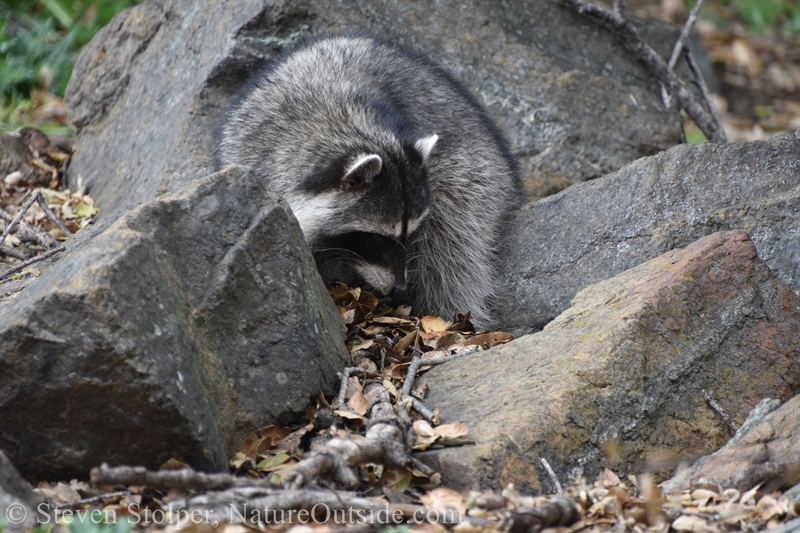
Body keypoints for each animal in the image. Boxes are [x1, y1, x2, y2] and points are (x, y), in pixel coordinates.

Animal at [217, 36, 521, 328]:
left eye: (411, 233)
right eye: (376, 239)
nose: (400, 290)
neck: (340, 124)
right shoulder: (248, 156)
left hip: (477, 174)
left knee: (453, 242)